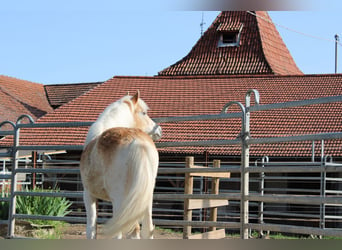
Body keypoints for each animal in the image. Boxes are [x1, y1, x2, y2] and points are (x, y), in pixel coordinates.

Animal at [80, 91, 162, 239]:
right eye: (144, 113)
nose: (159, 130)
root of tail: (137, 142)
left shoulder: (88, 195)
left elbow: (91, 229)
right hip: (145, 200)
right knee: (146, 230)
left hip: (120, 202)